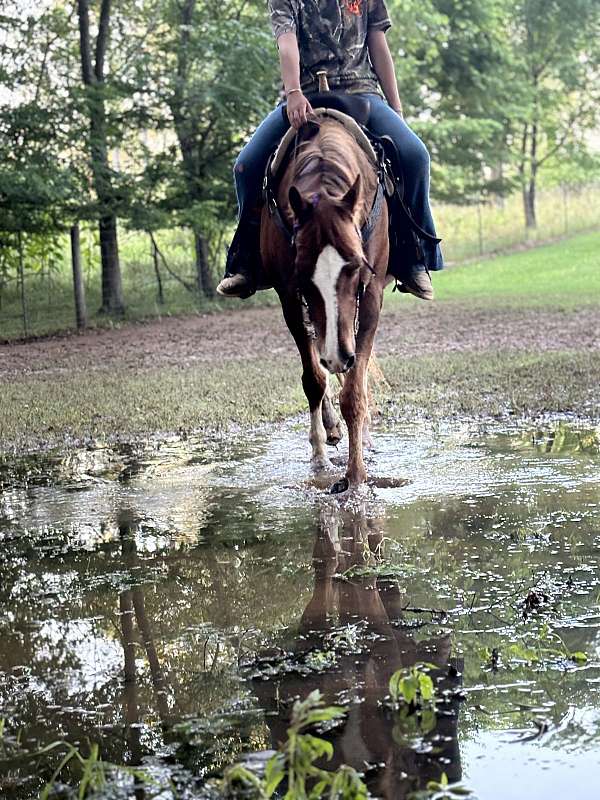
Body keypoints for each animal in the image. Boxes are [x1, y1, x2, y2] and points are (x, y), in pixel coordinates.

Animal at [262, 109, 390, 490]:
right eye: (303, 272)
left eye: (356, 264)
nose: (337, 355)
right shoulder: (291, 297)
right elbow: (314, 379)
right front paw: (320, 457)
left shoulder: (371, 294)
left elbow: (354, 389)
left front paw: (356, 475)